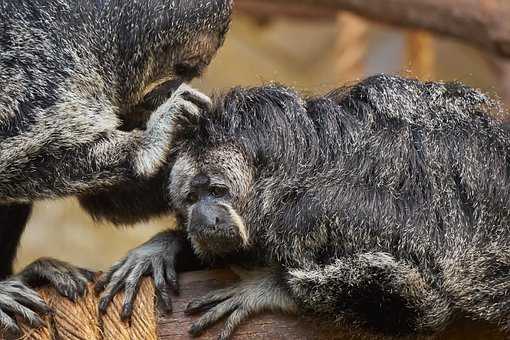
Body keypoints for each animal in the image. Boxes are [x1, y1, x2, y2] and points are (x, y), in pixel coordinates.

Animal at [0, 0, 233, 334]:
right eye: (185, 67)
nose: (181, 79)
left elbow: (106, 198)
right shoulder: (38, 62)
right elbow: (13, 157)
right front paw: (149, 142)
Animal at [96, 75, 510, 340]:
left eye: (217, 190)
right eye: (191, 199)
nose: (202, 217)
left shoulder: (310, 214)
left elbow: (421, 304)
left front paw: (266, 287)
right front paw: (162, 248)